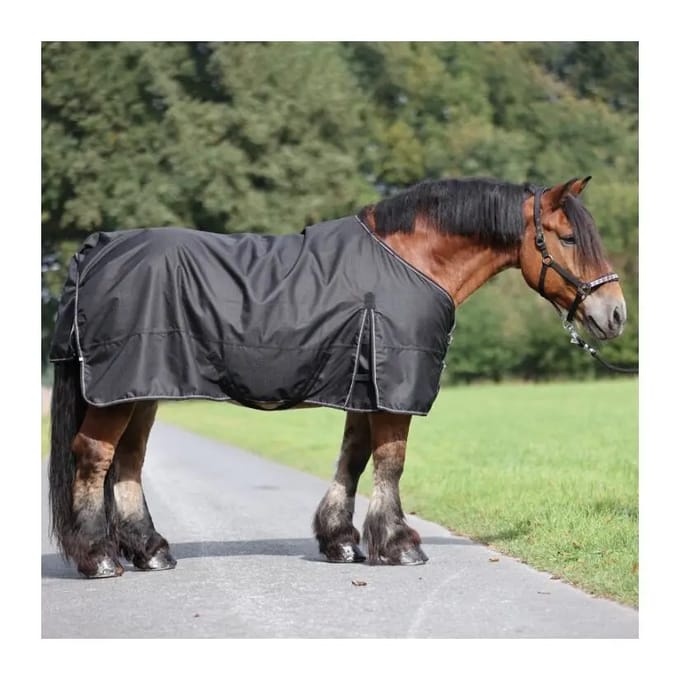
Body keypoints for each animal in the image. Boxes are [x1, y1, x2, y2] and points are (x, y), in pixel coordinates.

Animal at [48, 176, 627, 578]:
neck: (412, 261)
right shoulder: (394, 388)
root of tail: (98, 250)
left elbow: (354, 456)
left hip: (142, 389)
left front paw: (342, 541)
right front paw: (399, 543)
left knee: (128, 462)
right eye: (568, 238)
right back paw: (100, 557)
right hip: (119, 391)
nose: (615, 314)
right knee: (94, 457)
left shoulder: (362, 386)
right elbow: (390, 461)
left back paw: (151, 551)